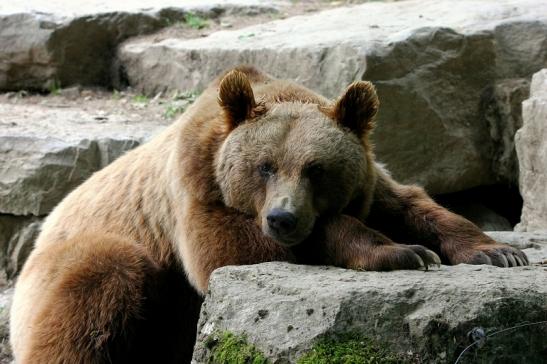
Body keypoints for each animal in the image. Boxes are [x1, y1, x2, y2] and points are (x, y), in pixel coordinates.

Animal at [9, 67, 532, 362]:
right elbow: (224, 252)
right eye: (265, 166)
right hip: (77, 267)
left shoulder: (369, 183)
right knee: (100, 278)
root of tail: (42, 230)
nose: (282, 219)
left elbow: (414, 204)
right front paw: (403, 252)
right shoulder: (196, 190)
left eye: (316, 169)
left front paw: (499, 251)